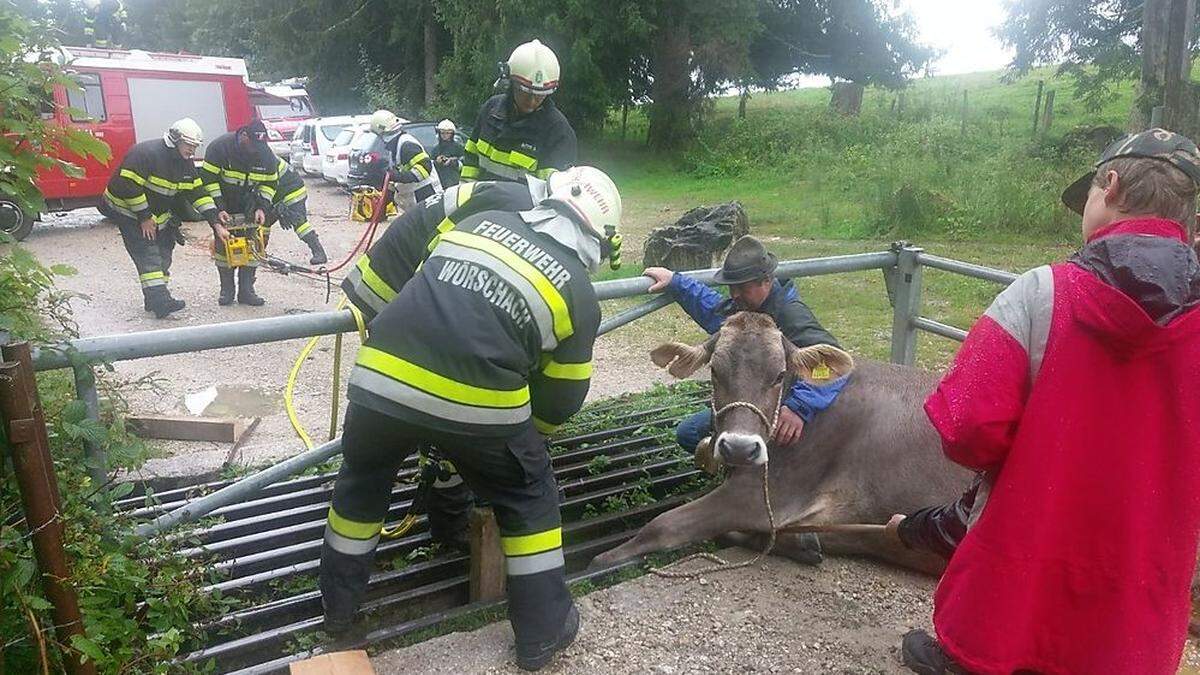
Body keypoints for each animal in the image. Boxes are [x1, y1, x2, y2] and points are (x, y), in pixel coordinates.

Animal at [590, 312, 974, 571]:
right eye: (714, 370)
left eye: (779, 374)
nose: (739, 448)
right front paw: (805, 543)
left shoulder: (770, 492)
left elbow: (662, 525)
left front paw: (604, 558)